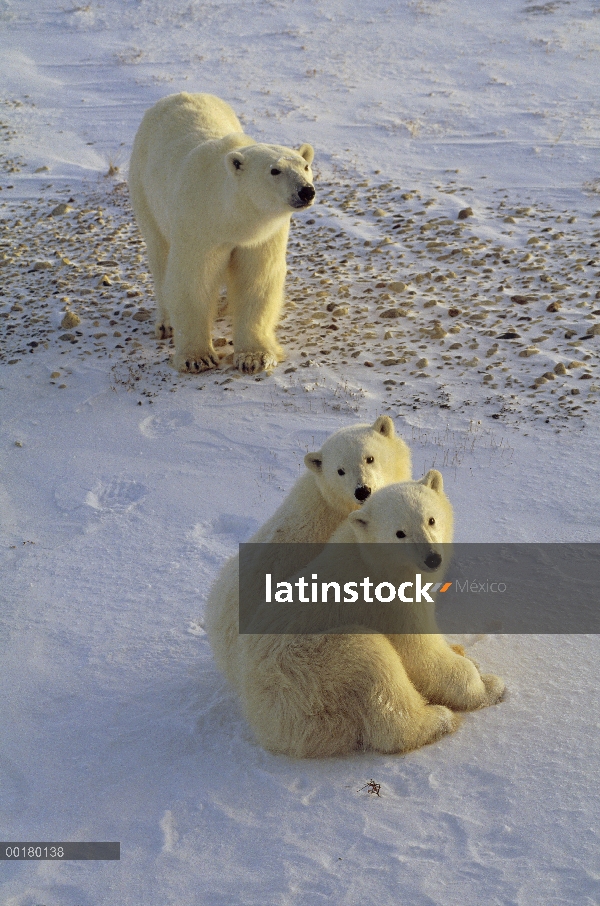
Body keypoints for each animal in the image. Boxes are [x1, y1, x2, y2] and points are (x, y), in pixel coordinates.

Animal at [129, 92, 316, 374]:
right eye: (275, 170)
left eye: (305, 166)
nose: (306, 191)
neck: (230, 214)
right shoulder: (199, 225)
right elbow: (193, 279)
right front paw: (197, 358)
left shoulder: (263, 235)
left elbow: (256, 279)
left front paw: (255, 357)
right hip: (144, 190)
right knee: (160, 255)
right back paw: (166, 324)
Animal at [223, 466, 504, 756]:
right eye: (399, 533)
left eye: (431, 519)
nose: (432, 558)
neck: (376, 560)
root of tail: (259, 714)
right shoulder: (389, 604)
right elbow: (420, 654)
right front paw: (489, 686)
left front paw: (463, 653)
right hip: (309, 667)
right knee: (372, 666)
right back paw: (439, 719)